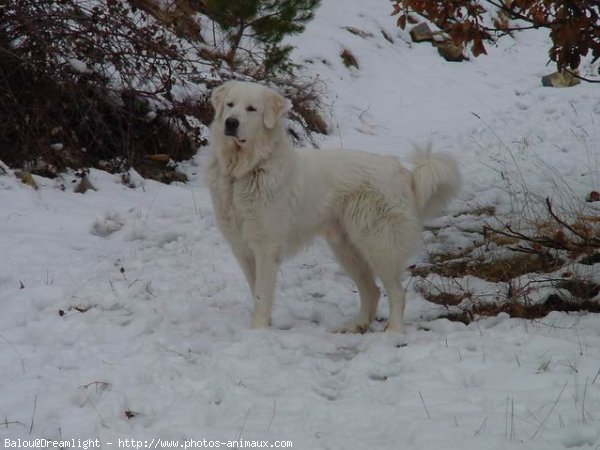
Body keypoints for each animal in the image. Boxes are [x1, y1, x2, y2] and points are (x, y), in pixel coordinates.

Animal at [205, 81, 460, 334]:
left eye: (251, 109)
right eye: (230, 105)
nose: (231, 122)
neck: (244, 172)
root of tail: (403, 172)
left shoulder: (267, 248)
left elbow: (261, 294)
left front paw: (258, 330)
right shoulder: (242, 249)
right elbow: (255, 289)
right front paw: (261, 327)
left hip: (379, 246)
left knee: (396, 292)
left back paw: (394, 331)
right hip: (347, 249)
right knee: (372, 290)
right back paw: (357, 325)